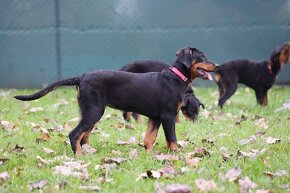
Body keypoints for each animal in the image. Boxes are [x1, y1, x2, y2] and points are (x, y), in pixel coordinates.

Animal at [14, 47, 218, 155]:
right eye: (202, 57)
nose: (217, 66)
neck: (175, 78)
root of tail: (82, 77)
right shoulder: (167, 116)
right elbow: (172, 139)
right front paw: (177, 154)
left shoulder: (155, 117)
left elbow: (149, 138)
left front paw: (149, 154)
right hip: (94, 111)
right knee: (75, 134)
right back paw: (79, 156)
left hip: (90, 112)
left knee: (84, 135)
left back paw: (89, 151)